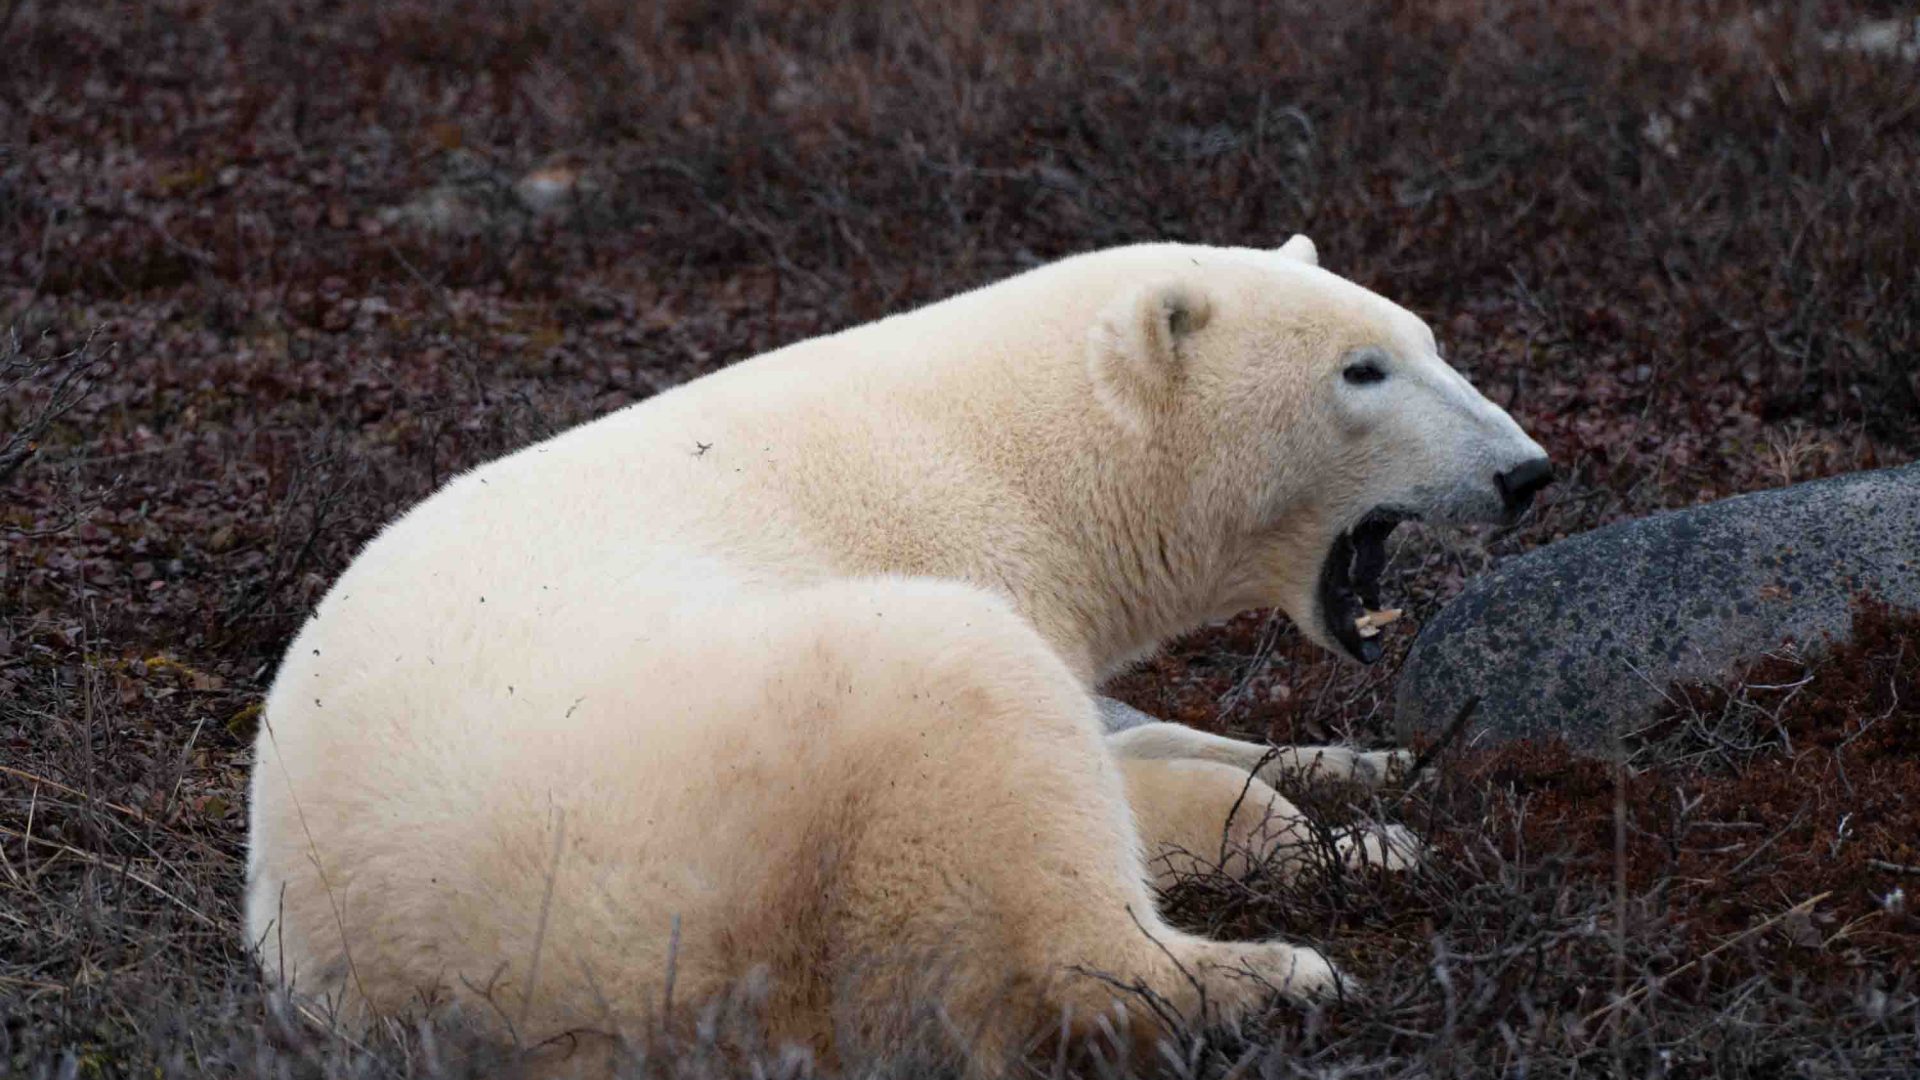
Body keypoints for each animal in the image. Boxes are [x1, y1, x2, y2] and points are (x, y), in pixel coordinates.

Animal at [244, 238, 1550, 1072]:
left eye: (1430, 340)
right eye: (1361, 370)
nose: (1525, 470)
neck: (1018, 455)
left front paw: (1373, 773)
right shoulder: (969, 553)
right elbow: (1099, 771)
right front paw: (1339, 843)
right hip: (697, 821)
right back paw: (1275, 979)